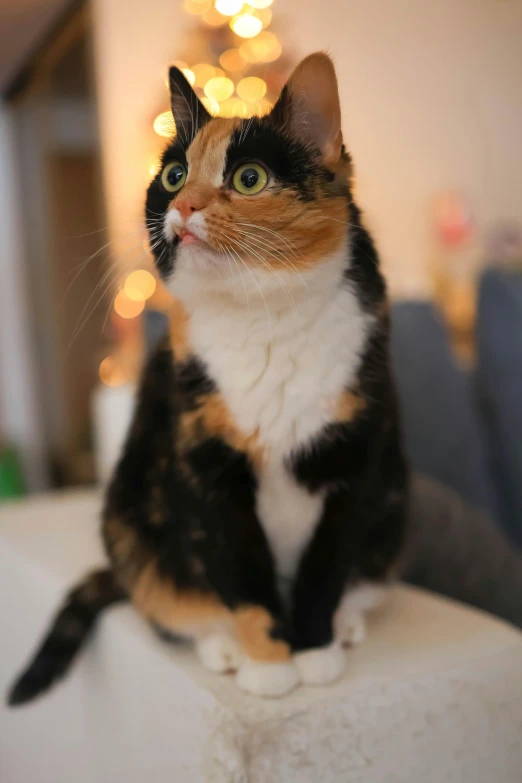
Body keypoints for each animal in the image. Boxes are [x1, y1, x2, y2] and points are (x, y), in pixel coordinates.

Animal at [7, 53, 406, 704]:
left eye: (248, 178)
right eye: (173, 176)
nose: (184, 207)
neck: (263, 319)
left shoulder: (356, 462)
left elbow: (327, 565)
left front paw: (314, 649)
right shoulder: (203, 465)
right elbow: (239, 571)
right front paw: (269, 663)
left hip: (396, 506)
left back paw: (346, 623)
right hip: (127, 516)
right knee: (167, 598)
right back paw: (221, 644)